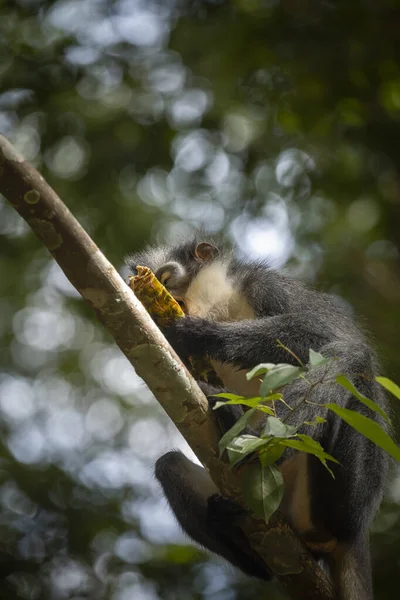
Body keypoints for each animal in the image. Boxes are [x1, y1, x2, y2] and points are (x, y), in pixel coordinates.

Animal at [127, 237, 388, 596]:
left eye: (166, 278)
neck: (224, 307)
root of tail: (356, 534)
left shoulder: (266, 288)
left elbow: (323, 337)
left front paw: (201, 332)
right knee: (169, 465)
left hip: (346, 498)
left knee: (348, 355)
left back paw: (257, 446)